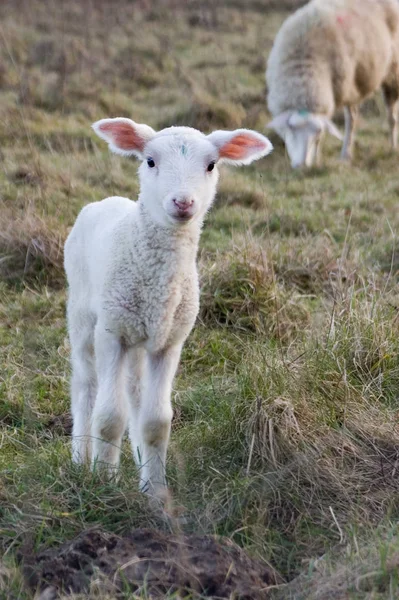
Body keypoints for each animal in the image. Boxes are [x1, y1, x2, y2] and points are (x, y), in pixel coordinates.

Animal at [64, 119, 274, 500]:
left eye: (211, 165)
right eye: (150, 161)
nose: (183, 201)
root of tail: (106, 201)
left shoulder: (170, 342)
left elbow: (156, 421)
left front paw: (156, 491)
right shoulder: (111, 333)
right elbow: (109, 417)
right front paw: (104, 484)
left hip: (138, 335)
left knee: (134, 392)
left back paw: (136, 457)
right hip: (84, 316)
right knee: (86, 386)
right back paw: (80, 458)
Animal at [266, 0, 399, 168]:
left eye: (316, 133)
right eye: (291, 129)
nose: (302, 166)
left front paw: (316, 160)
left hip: (389, 74)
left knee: (388, 116)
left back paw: (390, 148)